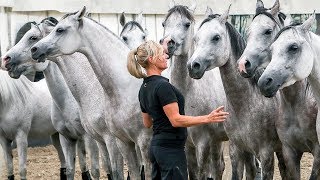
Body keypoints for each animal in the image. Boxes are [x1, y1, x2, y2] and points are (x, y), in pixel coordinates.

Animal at [159, 2, 228, 179]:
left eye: (187, 24)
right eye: (164, 23)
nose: (167, 43)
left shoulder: (202, 143)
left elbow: (201, 172)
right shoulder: (188, 145)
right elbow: (192, 172)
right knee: (218, 166)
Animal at [186, 6, 286, 179]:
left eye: (216, 37)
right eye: (196, 38)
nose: (193, 66)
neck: (245, 104)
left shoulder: (266, 153)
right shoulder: (237, 150)